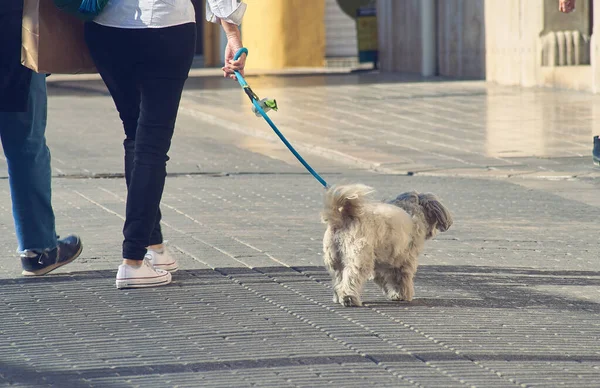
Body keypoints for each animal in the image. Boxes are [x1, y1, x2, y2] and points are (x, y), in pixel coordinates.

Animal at [322, 183, 452, 308]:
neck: (410, 209)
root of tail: (345, 216)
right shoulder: (405, 260)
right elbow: (401, 278)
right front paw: (403, 294)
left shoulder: (385, 261)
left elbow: (386, 278)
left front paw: (394, 293)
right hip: (359, 258)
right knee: (351, 278)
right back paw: (348, 298)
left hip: (335, 261)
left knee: (339, 279)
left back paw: (338, 297)